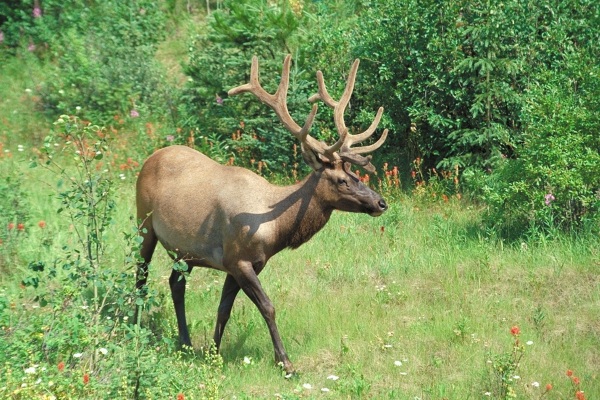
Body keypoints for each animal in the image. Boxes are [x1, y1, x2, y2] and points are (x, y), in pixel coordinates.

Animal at [135, 54, 390, 374]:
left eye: (355, 173)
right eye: (341, 180)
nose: (380, 203)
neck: (275, 229)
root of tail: (150, 157)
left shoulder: (247, 264)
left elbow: (223, 309)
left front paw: (213, 353)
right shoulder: (238, 259)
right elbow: (268, 307)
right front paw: (285, 362)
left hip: (184, 251)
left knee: (175, 284)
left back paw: (185, 342)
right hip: (143, 223)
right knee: (140, 276)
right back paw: (135, 326)